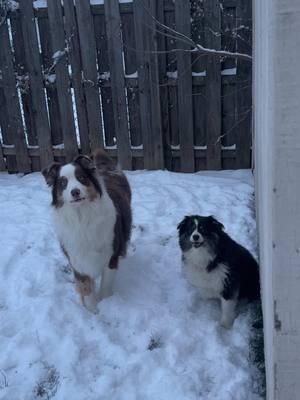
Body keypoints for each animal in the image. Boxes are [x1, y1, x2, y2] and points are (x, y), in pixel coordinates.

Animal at [42, 150, 132, 312]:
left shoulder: (110, 255)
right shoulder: (77, 258)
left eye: (81, 178)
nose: (75, 192)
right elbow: (85, 286)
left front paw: (106, 304)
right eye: (63, 183)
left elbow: (106, 285)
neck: (82, 216)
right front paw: (92, 309)